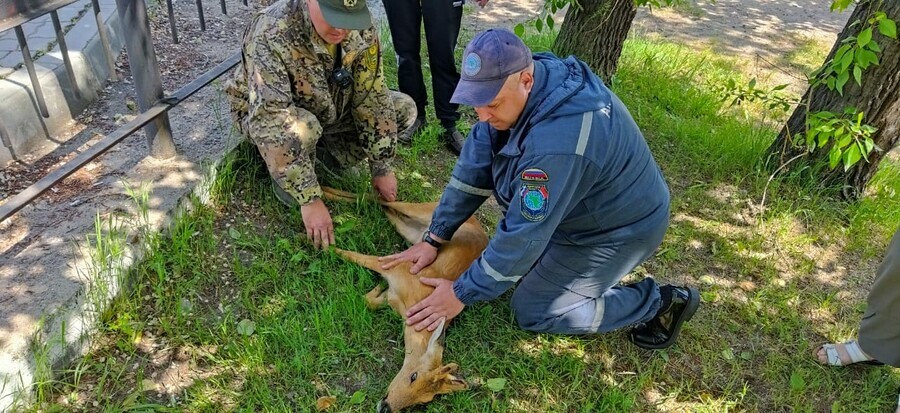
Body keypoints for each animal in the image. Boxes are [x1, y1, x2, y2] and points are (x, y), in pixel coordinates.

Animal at [324, 189, 488, 412]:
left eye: (423, 400)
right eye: (413, 376)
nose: (385, 407)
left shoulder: (393, 297)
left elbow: (368, 300)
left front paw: (376, 288)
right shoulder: (395, 267)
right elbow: (349, 254)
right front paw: (319, 243)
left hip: (407, 229)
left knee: (383, 207)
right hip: (417, 213)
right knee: (381, 199)